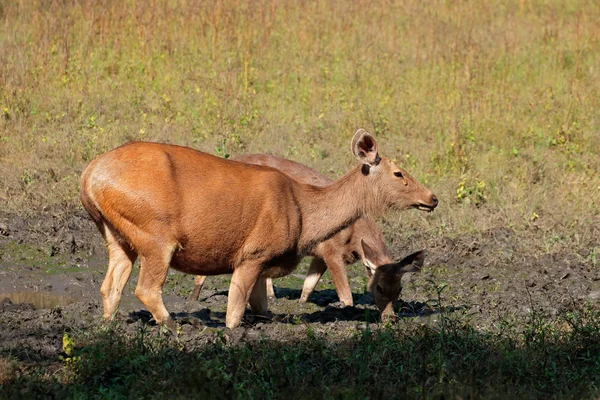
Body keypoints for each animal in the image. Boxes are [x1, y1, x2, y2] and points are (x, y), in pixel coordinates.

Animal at [188, 153, 426, 312]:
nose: (390, 316)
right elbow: (346, 295)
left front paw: (301, 304)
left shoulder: (320, 255)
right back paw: (195, 298)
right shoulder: (330, 251)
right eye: (379, 287)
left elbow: (308, 285)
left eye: (400, 289)